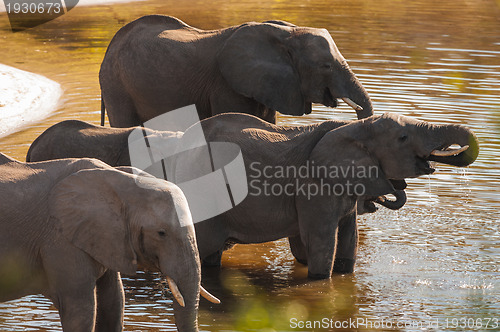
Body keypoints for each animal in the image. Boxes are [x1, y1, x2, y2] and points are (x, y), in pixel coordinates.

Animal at [0, 154, 219, 332]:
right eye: (161, 233)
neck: (117, 179)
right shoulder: (61, 241)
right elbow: (80, 310)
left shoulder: (106, 237)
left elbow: (113, 303)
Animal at [173, 113, 480, 278]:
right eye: (403, 138)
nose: (390, 193)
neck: (353, 127)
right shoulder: (314, 186)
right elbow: (320, 244)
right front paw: (320, 279)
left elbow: (348, 239)